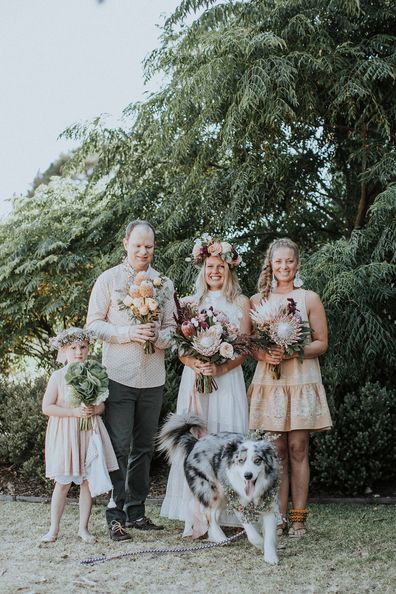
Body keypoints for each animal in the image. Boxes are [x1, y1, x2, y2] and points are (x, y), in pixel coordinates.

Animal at [157, 410, 278, 560]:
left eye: (257, 460)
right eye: (241, 460)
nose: (248, 475)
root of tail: (195, 443)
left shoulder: (268, 504)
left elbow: (270, 534)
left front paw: (270, 557)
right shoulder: (239, 504)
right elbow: (251, 531)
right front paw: (259, 543)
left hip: (224, 494)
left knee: (214, 514)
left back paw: (216, 537)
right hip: (211, 489)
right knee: (208, 513)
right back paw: (221, 538)